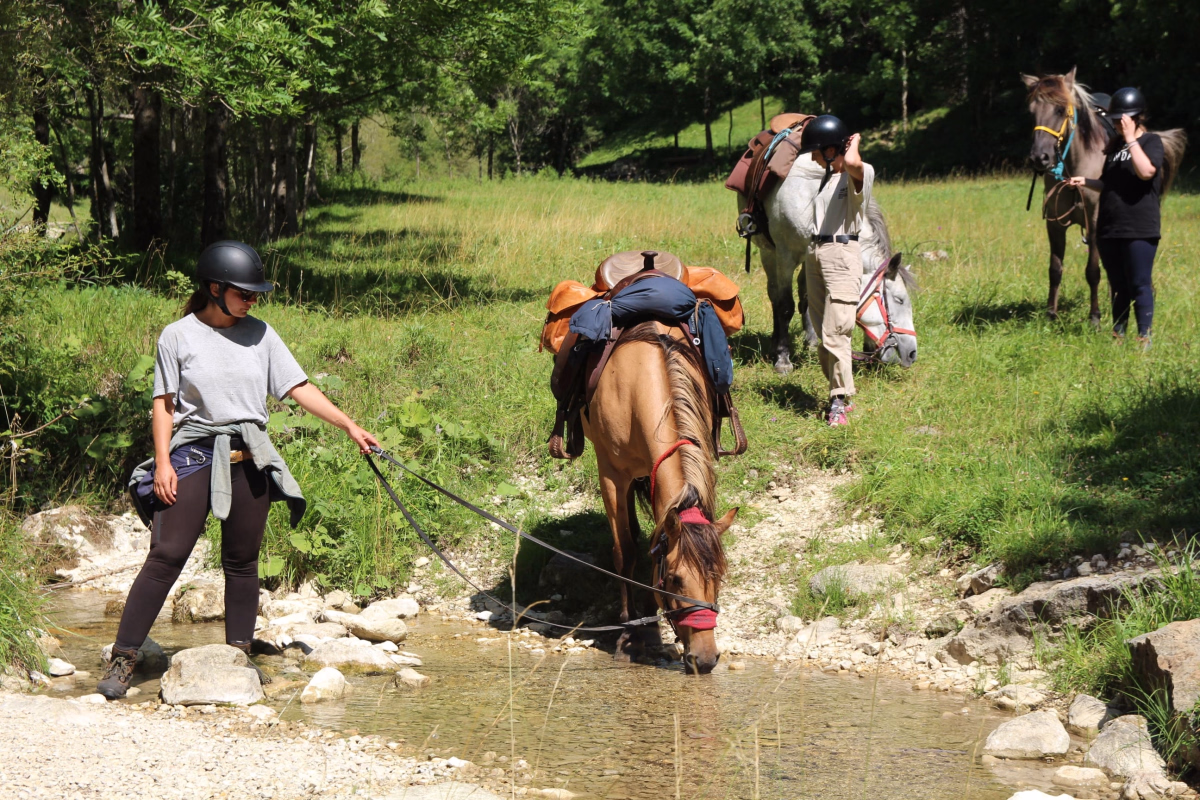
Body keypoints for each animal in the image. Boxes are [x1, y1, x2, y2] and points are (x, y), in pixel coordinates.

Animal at [581, 321, 737, 674]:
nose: (705, 659)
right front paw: (628, 638)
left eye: (719, 577)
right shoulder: (611, 475)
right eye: (676, 580)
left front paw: (650, 632)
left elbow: (655, 546)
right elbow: (625, 552)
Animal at [755, 154, 918, 374]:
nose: (912, 353)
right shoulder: (785, 257)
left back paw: (810, 342)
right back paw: (776, 343)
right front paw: (783, 359)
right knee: (775, 295)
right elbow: (785, 306)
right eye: (900, 300)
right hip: (768, 254)